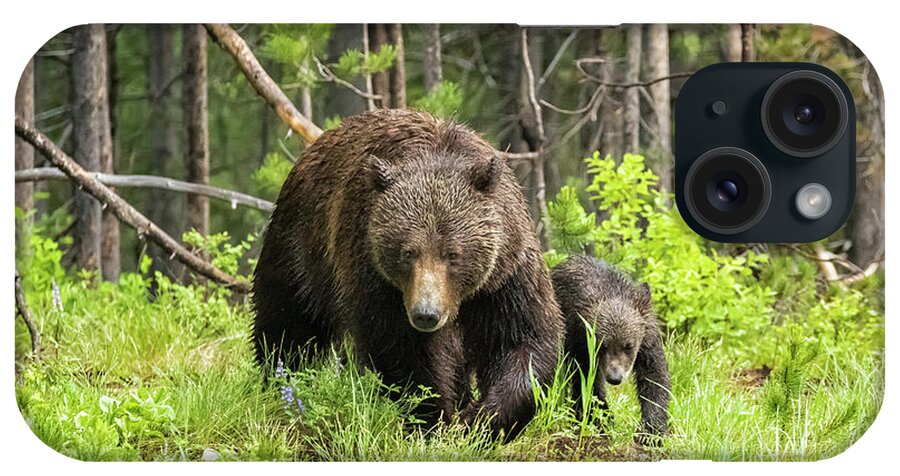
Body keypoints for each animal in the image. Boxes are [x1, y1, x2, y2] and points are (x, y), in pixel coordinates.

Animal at [253, 109, 564, 438]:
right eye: (408, 253)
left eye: (453, 254)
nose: (426, 314)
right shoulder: (374, 270)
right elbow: (400, 349)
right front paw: (434, 417)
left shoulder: (505, 272)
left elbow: (523, 338)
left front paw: (481, 418)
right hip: (305, 241)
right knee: (289, 320)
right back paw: (280, 380)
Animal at [548, 255, 668, 444]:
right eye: (602, 345)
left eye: (629, 345)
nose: (615, 377)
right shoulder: (579, 341)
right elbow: (586, 381)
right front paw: (601, 419)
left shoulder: (648, 342)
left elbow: (654, 378)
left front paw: (651, 431)